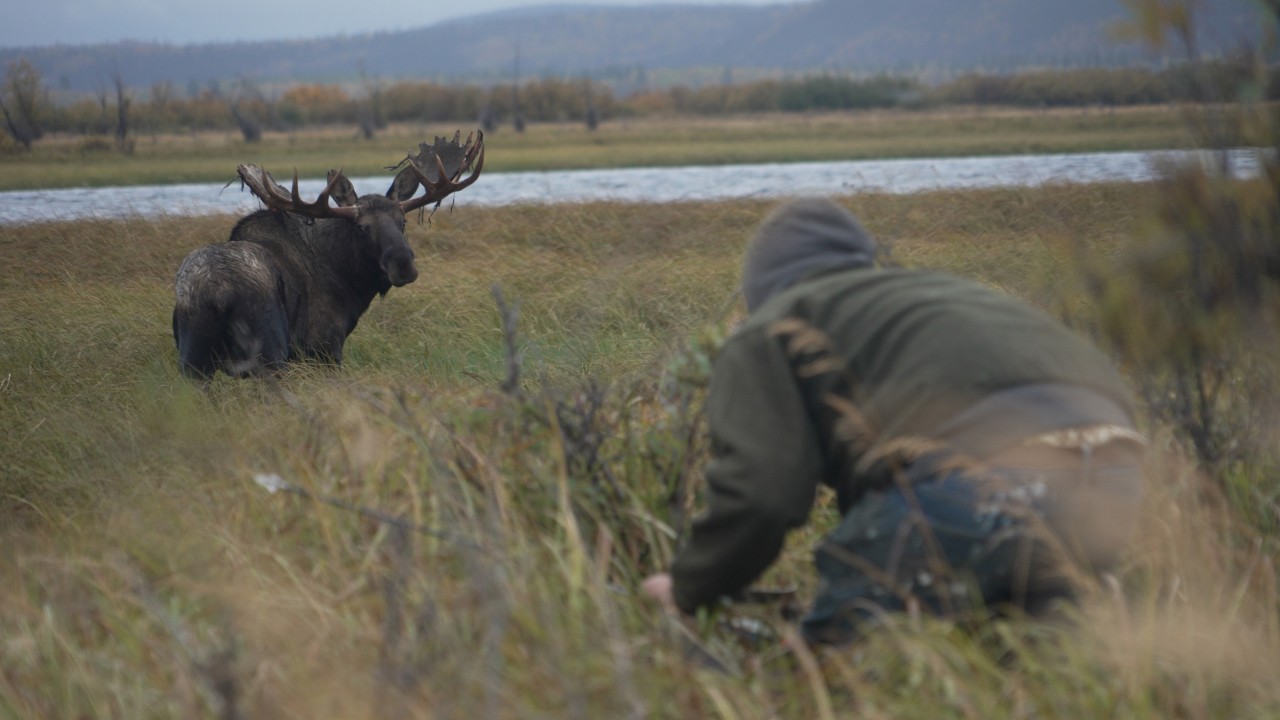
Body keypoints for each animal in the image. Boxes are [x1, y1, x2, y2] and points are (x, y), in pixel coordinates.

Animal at [172, 130, 484, 379]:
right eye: (361, 227)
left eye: (403, 222)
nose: (404, 265)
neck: (348, 284)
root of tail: (218, 295)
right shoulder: (323, 346)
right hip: (268, 351)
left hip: (193, 361)